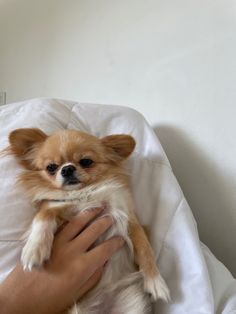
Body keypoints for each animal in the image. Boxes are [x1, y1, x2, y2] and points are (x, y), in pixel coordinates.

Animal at [6, 128, 170, 314]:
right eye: (51, 167)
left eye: (86, 162)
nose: (67, 169)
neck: (84, 194)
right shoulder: (54, 207)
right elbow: (43, 216)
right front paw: (34, 249)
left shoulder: (130, 221)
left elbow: (145, 249)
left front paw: (155, 281)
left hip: (131, 303)